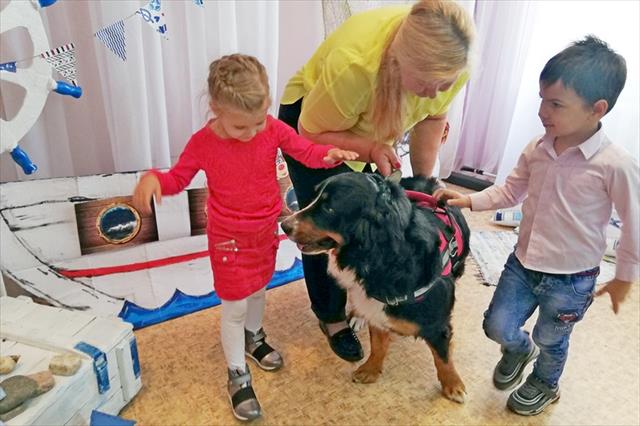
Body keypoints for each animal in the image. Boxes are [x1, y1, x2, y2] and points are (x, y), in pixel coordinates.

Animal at [281, 172, 470, 403]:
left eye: (329, 208)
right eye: (314, 197)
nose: (284, 225)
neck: (383, 259)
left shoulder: (437, 324)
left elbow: (443, 357)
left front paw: (453, 385)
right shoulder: (376, 309)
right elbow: (378, 345)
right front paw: (370, 369)